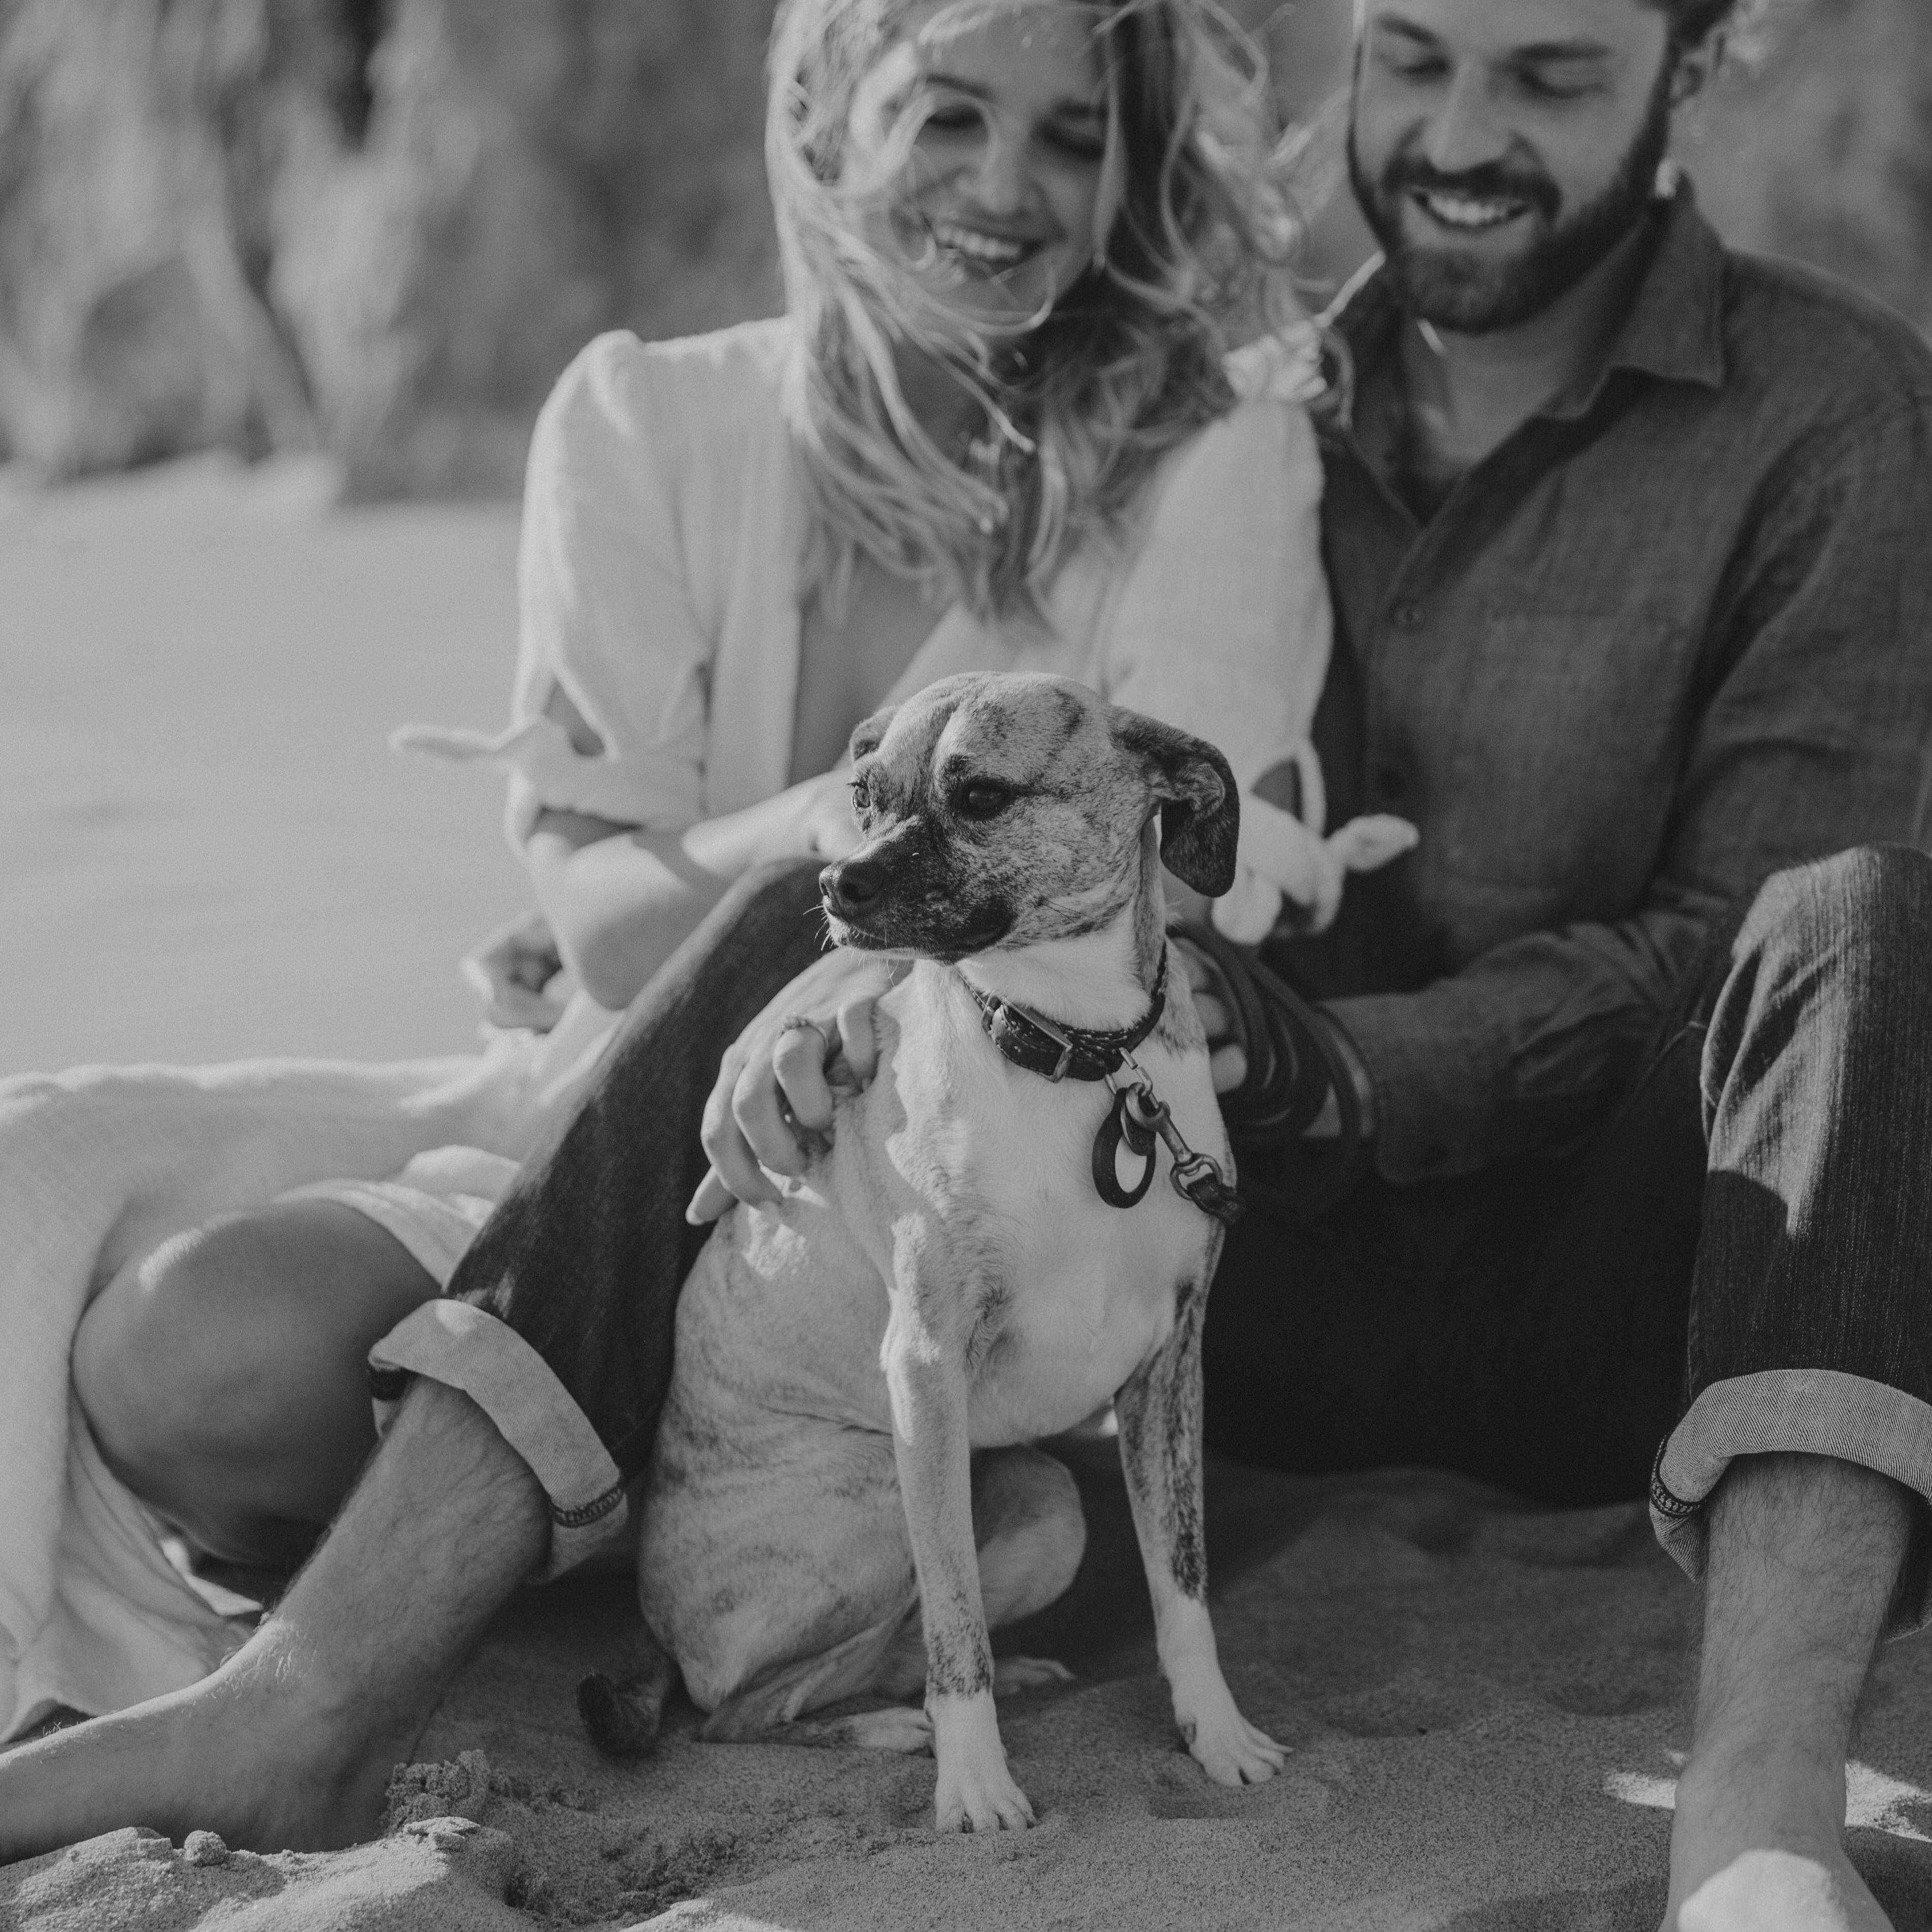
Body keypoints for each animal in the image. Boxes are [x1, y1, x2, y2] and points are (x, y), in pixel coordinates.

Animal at [587, 672, 1282, 1832]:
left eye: (983, 796)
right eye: (863, 795)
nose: (837, 882)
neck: (1074, 1056)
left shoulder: (1167, 1365)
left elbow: (1180, 1583)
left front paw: (1215, 1733)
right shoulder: (925, 1371)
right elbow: (956, 1623)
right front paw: (975, 1788)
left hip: (1045, 1505)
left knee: (861, 1658)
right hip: (876, 1495)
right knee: (740, 1707)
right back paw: (891, 1728)